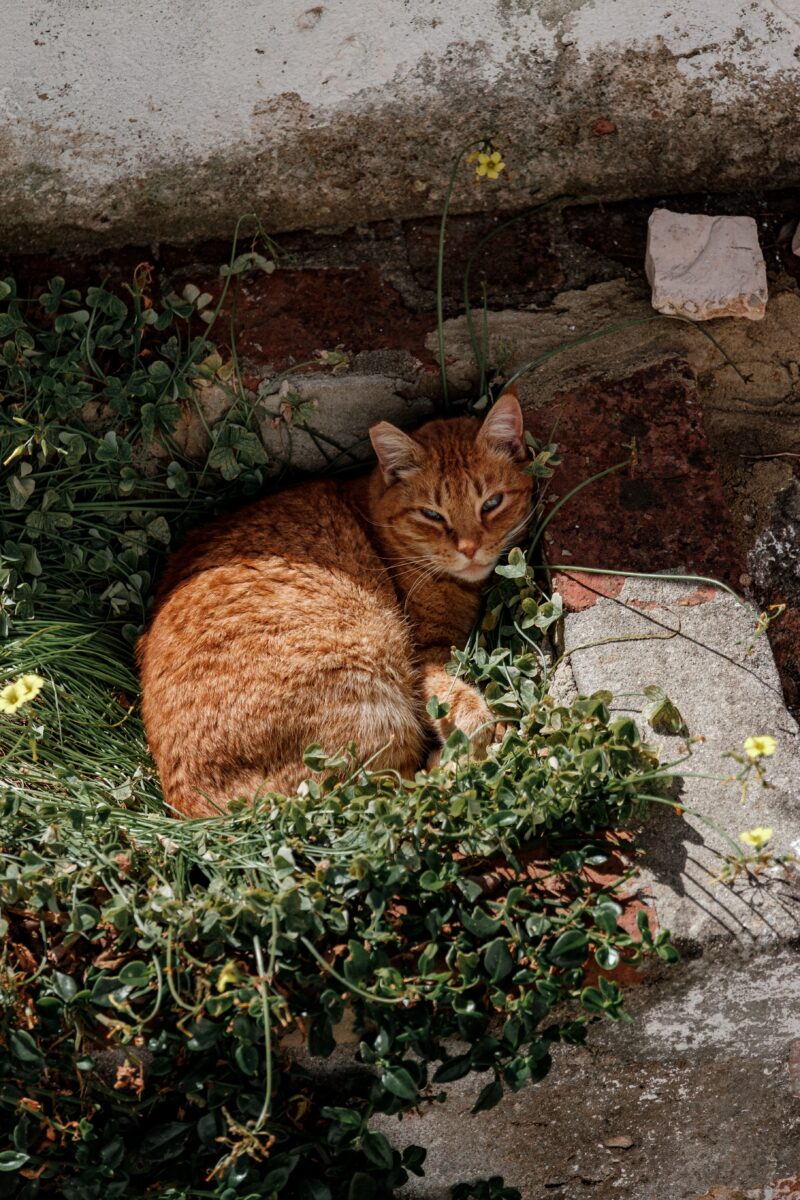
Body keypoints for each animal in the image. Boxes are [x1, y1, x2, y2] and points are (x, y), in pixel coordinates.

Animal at [139, 393, 532, 816]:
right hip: (367, 686)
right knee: (397, 789)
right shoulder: (427, 654)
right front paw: (483, 727)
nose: (470, 549)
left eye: (492, 503)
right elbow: (458, 699)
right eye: (431, 514)